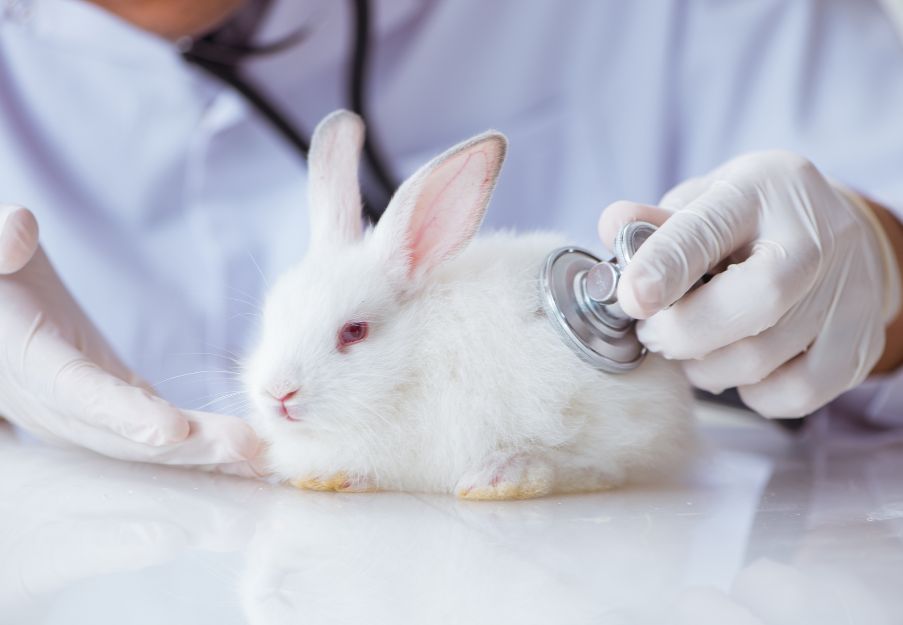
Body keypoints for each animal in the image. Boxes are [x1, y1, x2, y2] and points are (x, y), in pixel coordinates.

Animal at [244, 110, 695, 500]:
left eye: (354, 332)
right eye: (269, 321)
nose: (278, 393)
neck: (412, 361)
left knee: (601, 467)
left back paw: (501, 477)